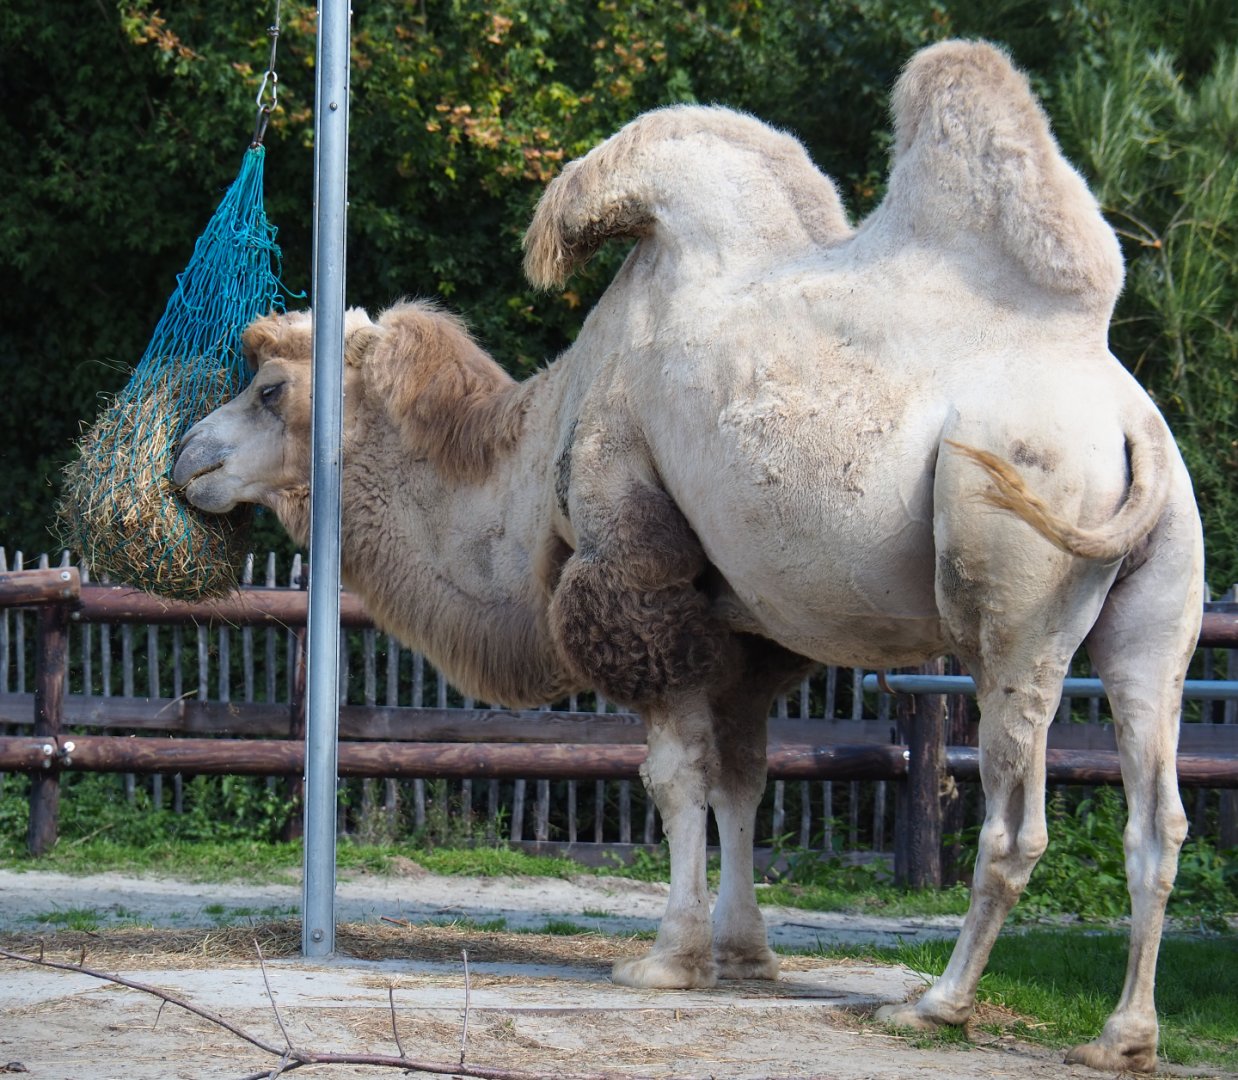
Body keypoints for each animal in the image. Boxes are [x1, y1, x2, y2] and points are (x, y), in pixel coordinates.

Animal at [172, 41, 1203, 1073]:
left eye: (269, 389)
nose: (187, 456)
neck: (542, 434)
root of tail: (1126, 422)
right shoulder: (743, 633)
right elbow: (745, 780)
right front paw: (745, 957)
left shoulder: (634, 569)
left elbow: (673, 778)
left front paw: (666, 960)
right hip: (1159, 602)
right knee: (1158, 816)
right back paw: (1123, 1036)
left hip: (1014, 593)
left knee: (1015, 818)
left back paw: (936, 1004)